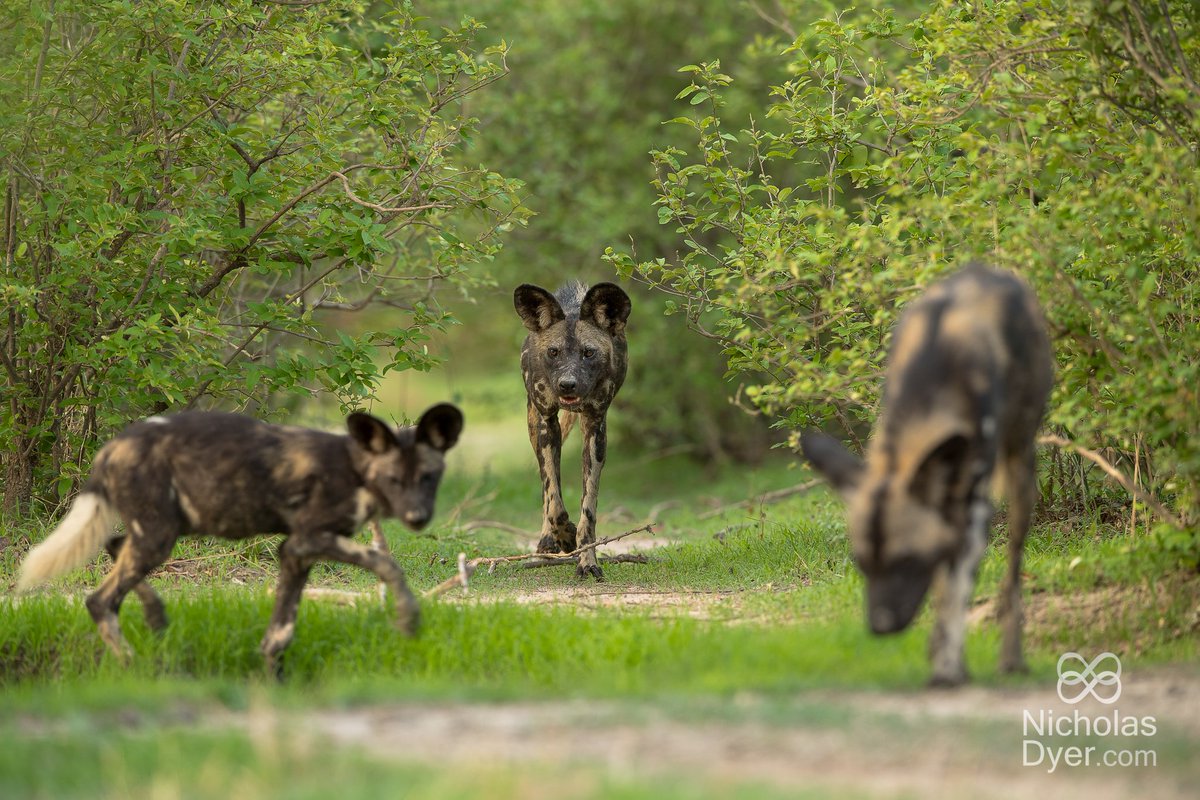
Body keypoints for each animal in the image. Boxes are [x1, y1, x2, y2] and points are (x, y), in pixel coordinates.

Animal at [17, 407, 463, 676]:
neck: (357, 469)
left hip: (165, 530)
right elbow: (387, 563)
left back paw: (156, 617)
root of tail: (112, 446)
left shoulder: (295, 553)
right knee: (99, 601)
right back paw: (136, 667)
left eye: (428, 477)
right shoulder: (309, 540)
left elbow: (279, 633)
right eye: (393, 479)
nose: (417, 517)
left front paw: (272, 682)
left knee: (113, 545)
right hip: (159, 537)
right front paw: (408, 620)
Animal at [511, 283, 633, 582]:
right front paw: (565, 537)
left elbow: (588, 510)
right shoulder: (546, 423)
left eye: (588, 353)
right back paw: (547, 541)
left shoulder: (594, 427)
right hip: (534, 423)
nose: (567, 385)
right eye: (553, 352)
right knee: (547, 490)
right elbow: (554, 502)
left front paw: (587, 560)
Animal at [806, 266, 1051, 686]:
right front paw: (943, 659)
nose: (880, 627)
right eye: (862, 563)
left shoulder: (972, 513)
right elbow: (942, 593)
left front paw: (948, 670)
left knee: (1012, 576)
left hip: (1020, 471)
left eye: (906, 560)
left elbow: (955, 594)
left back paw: (1011, 659)